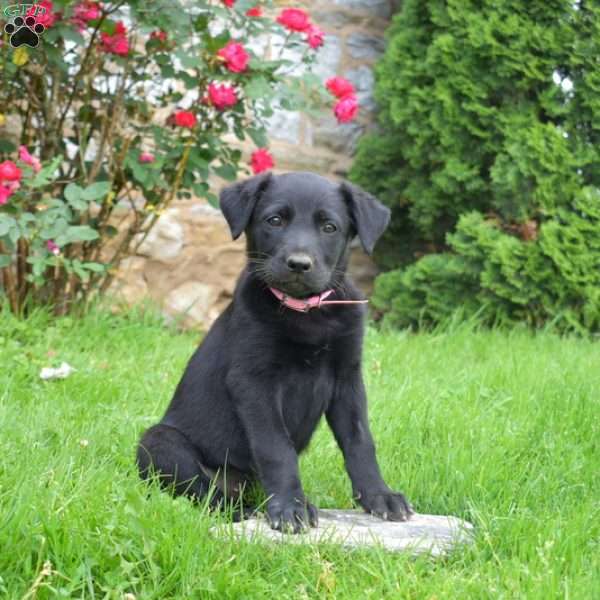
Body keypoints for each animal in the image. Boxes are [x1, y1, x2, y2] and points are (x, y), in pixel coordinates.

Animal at [136, 170, 412, 528]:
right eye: (275, 220)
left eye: (329, 227)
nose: (299, 264)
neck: (306, 312)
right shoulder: (254, 382)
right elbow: (276, 448)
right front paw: (291, 506)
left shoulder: (348, 379)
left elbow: (360, 440)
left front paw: (379, 495)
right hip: (159, 443)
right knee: (204, 492)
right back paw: (239, 510)